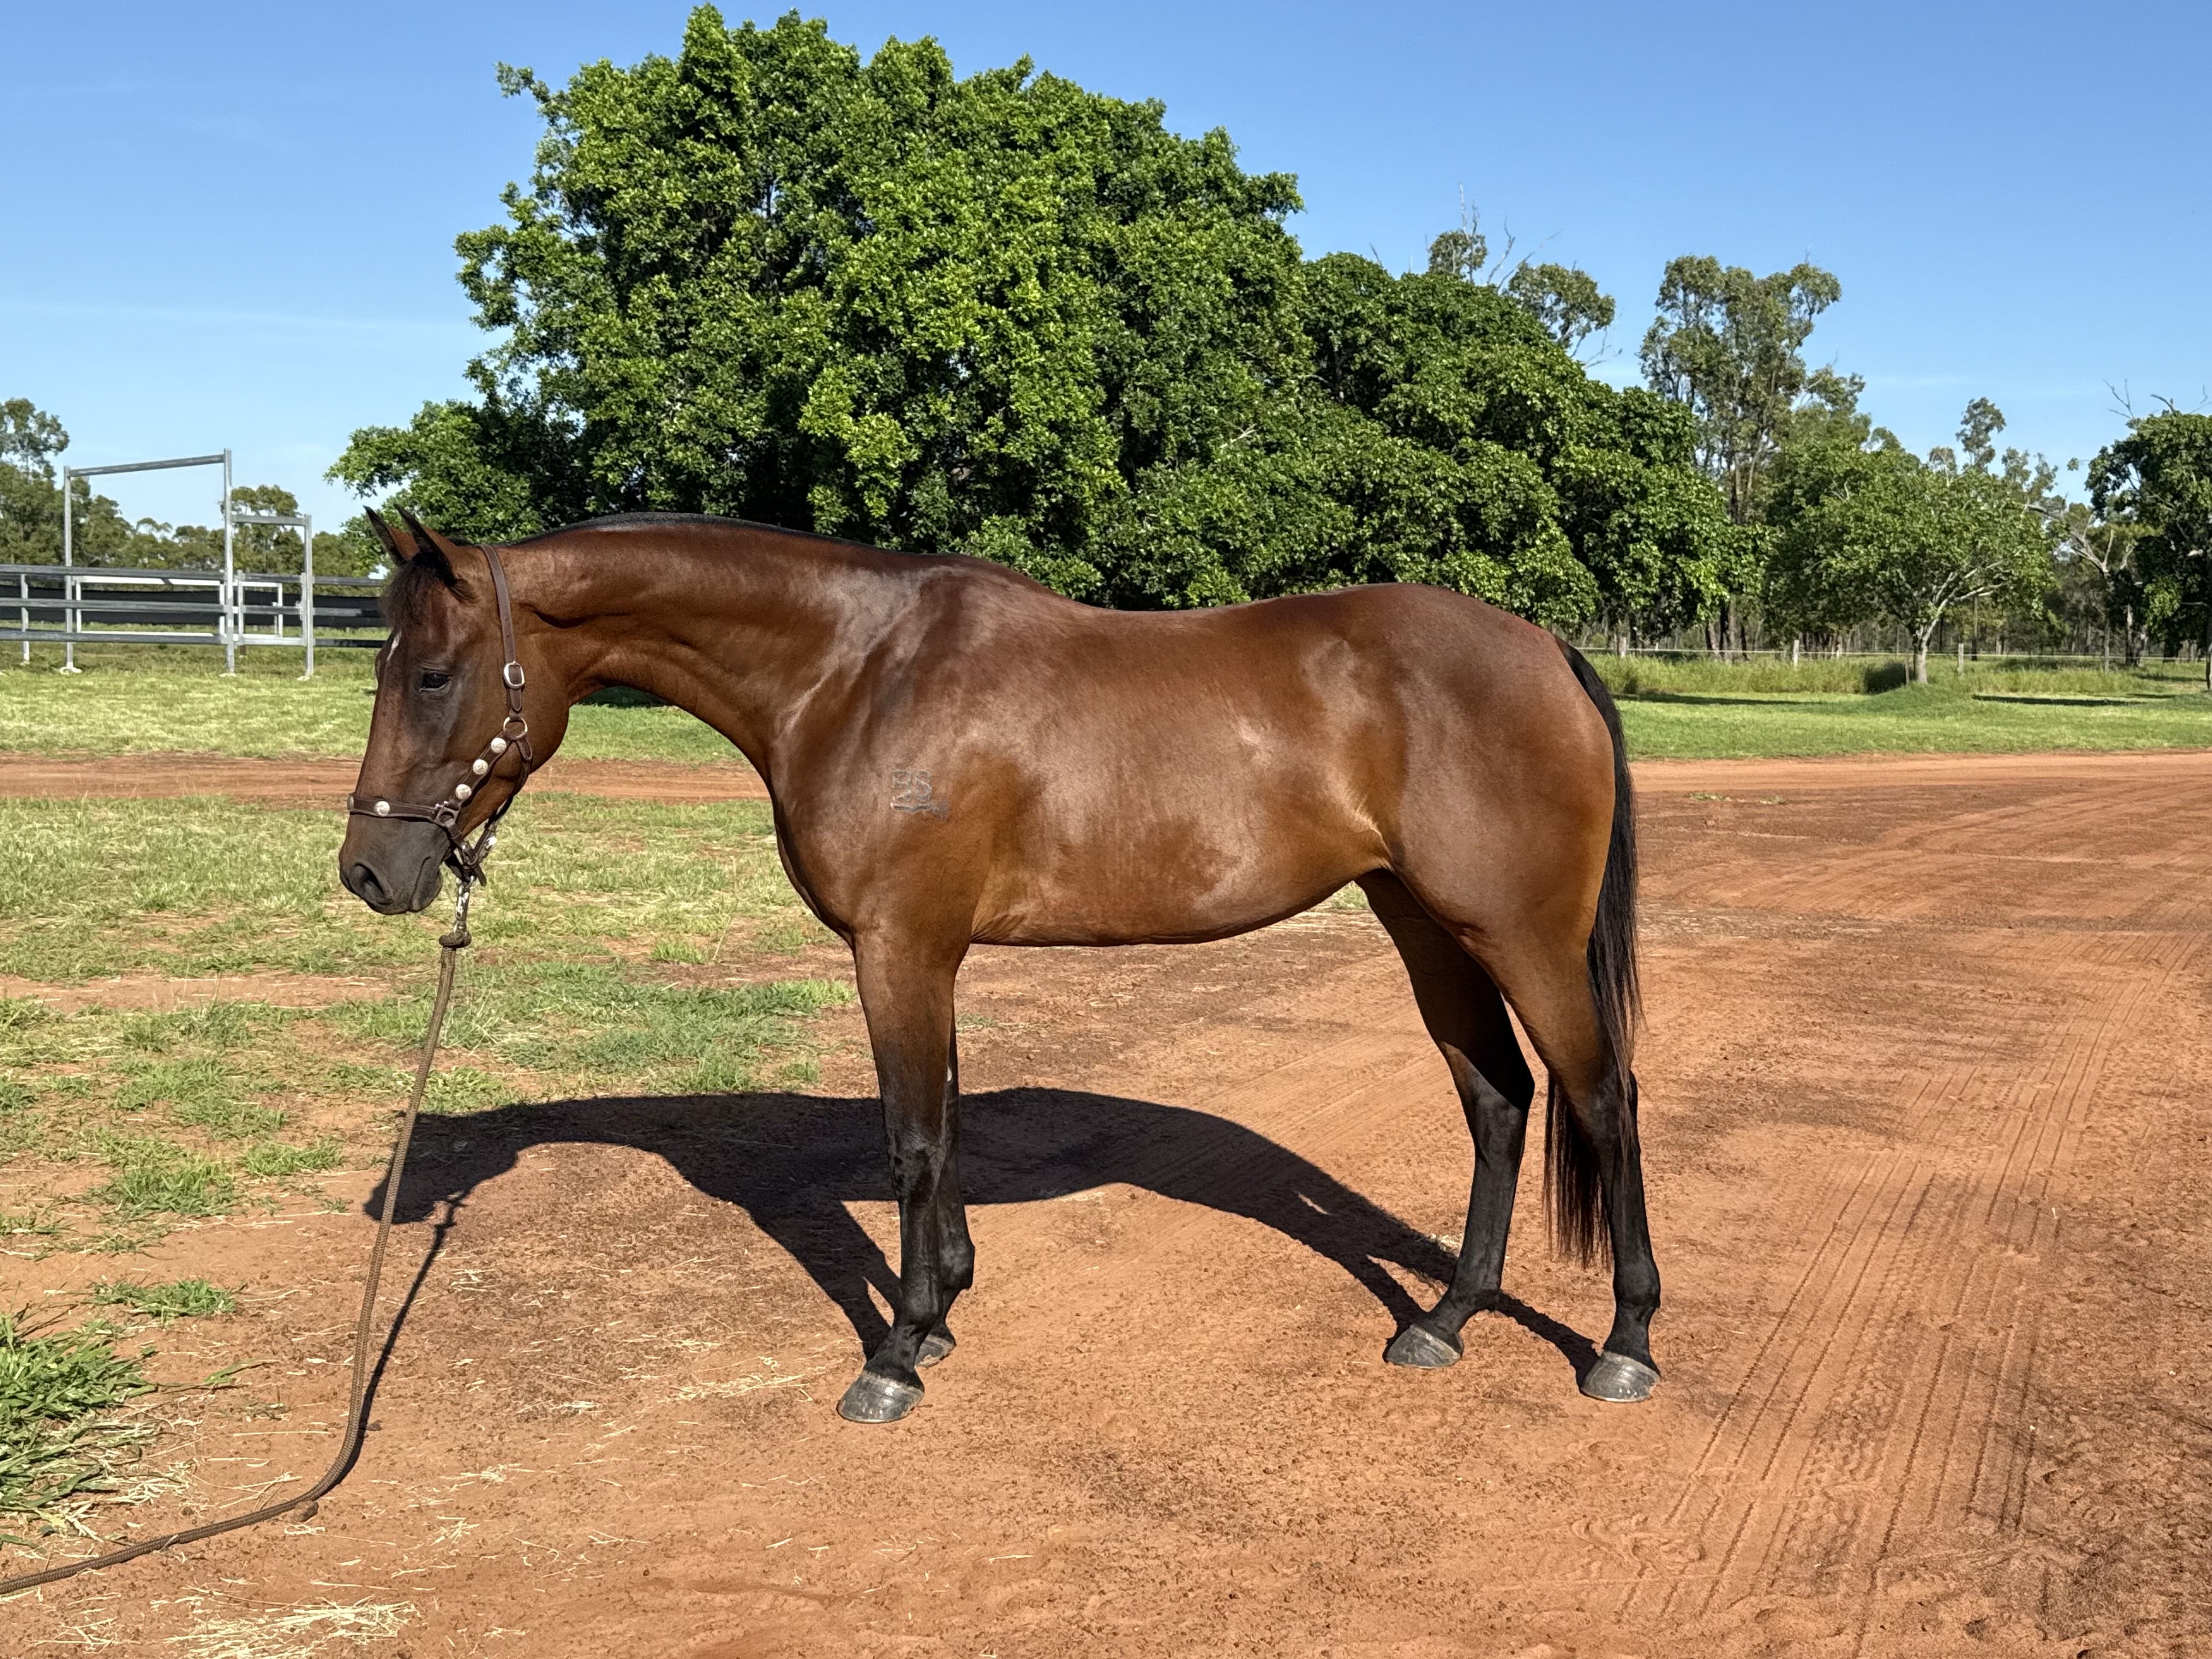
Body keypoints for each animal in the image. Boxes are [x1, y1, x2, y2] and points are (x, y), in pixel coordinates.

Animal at [338, 509, 1660, 1423]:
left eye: (433, 673)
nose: (368, 872)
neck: (855, 672)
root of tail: (1544, 649)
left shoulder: (896, 948)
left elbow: (913, 1141)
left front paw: (895, 1352)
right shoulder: (930, 951)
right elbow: (948, 1122)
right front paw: (942, 1318)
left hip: (1519, 936)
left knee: (1602, 1097)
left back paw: (1624, 1344)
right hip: (1425, 926)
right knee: (1499, 1100)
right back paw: (1446, 1318)